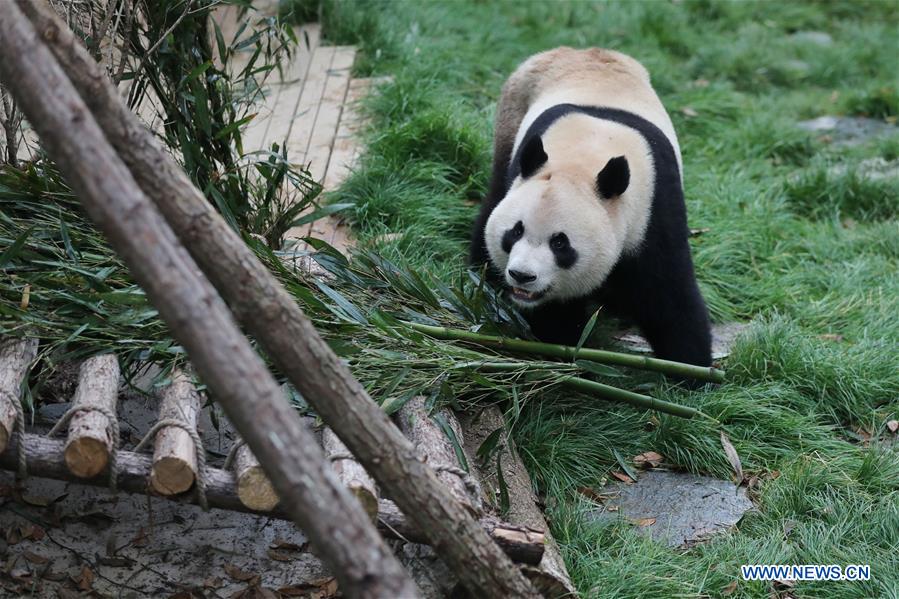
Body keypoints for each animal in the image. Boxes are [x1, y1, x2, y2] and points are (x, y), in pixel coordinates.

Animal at [470, 47, 712, 368]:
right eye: (515, 232)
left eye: (560, 243)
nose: (522, 276)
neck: (582, 158)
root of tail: (580, 50)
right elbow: (555, 312)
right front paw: (563, 348)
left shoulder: (653, 210)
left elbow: (668, 295)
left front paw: (690, 368)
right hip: (512, 117)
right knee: (496, 191)